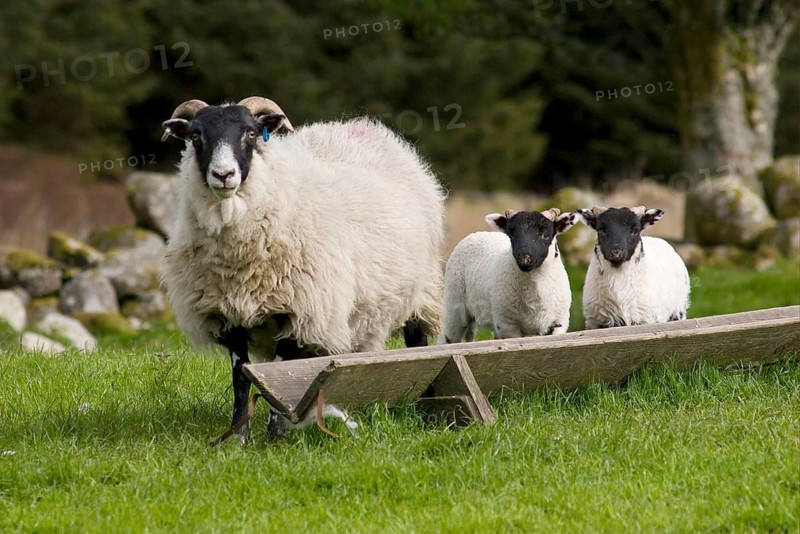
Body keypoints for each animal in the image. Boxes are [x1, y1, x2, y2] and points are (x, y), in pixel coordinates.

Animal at [160, 97, 445, 442]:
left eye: (251, 134)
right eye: (196, 136)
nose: (224, 174)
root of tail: (358, 126)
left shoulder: (300, 311)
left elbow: (278, 373)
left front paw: (275, 437)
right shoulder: (228, 318)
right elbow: (241, 380)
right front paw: (238, 438)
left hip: (421, 292)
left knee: (417, 340)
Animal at [440, 208, 577, 342]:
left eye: (546, 235)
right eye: (511, 234)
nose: (524, 259)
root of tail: (476, 234)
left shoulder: (557, 323)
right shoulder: (508, 326)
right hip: (454, 306)